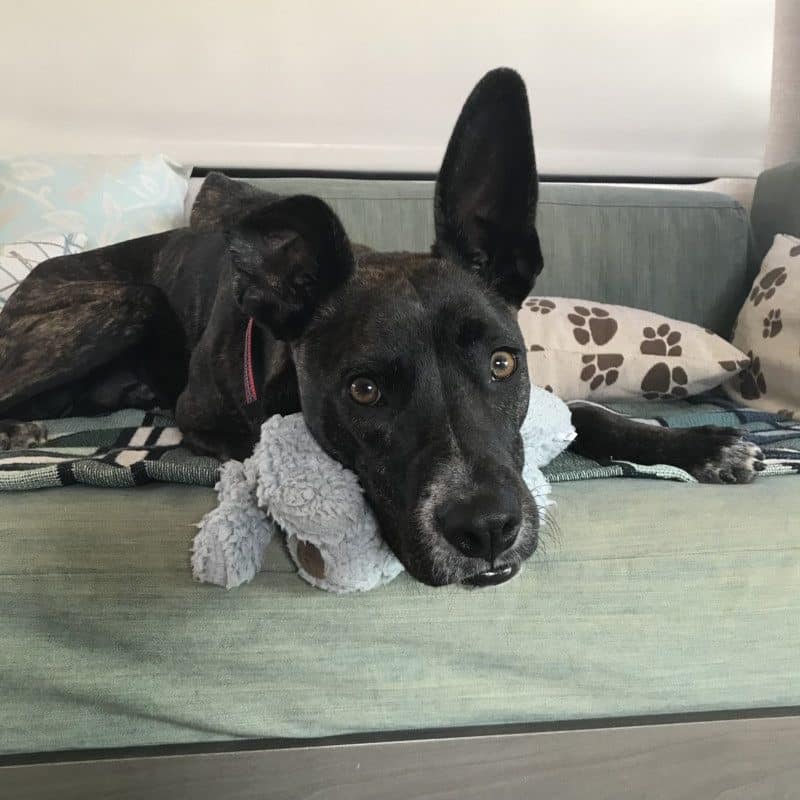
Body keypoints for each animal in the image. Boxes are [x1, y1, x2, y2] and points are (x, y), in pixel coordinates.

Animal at [0, 70, 764, 588]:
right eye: (363, 390)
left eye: (503, 364)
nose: (487, 528)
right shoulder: (204, 417)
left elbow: (586, 411)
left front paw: (703, 445)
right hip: (125, 303)